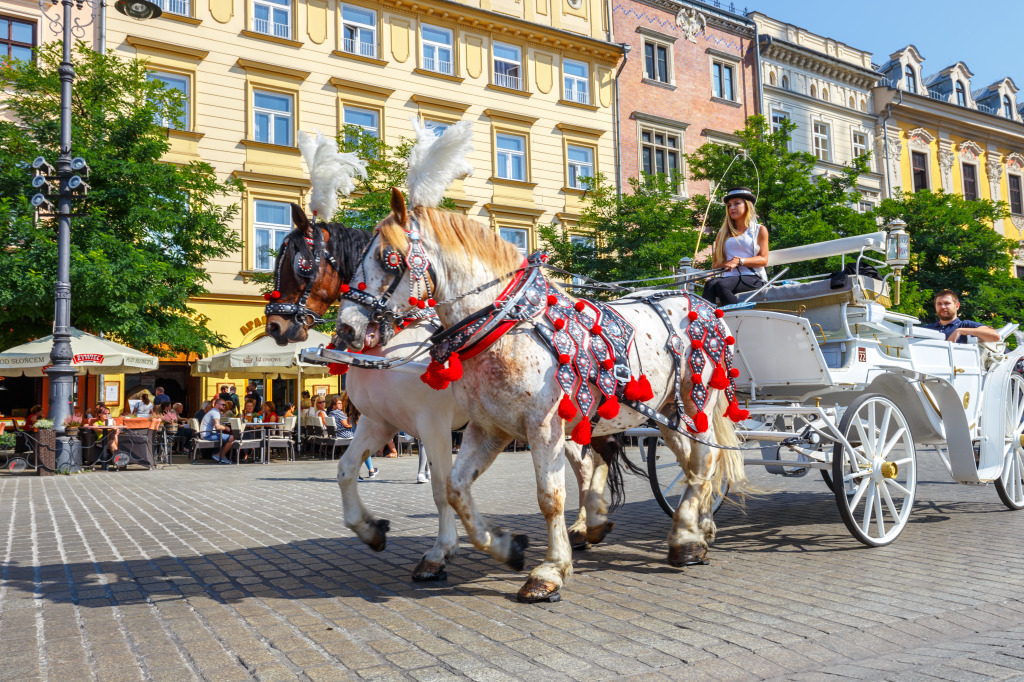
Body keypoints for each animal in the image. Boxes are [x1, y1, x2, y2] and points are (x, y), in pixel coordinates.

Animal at [335, 188, 745, 598]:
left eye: (388, 259)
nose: (346, 328)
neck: (506, 327)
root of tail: (704, 304)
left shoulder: (540, 426)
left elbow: (549, 497)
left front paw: (550, 571)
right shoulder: (487, 428)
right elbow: (454, 488)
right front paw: (505, 547)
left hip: (694, 402)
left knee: (704, 459)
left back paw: (685, 540)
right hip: (665, 415)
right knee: (691, 465)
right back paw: (696, 529)